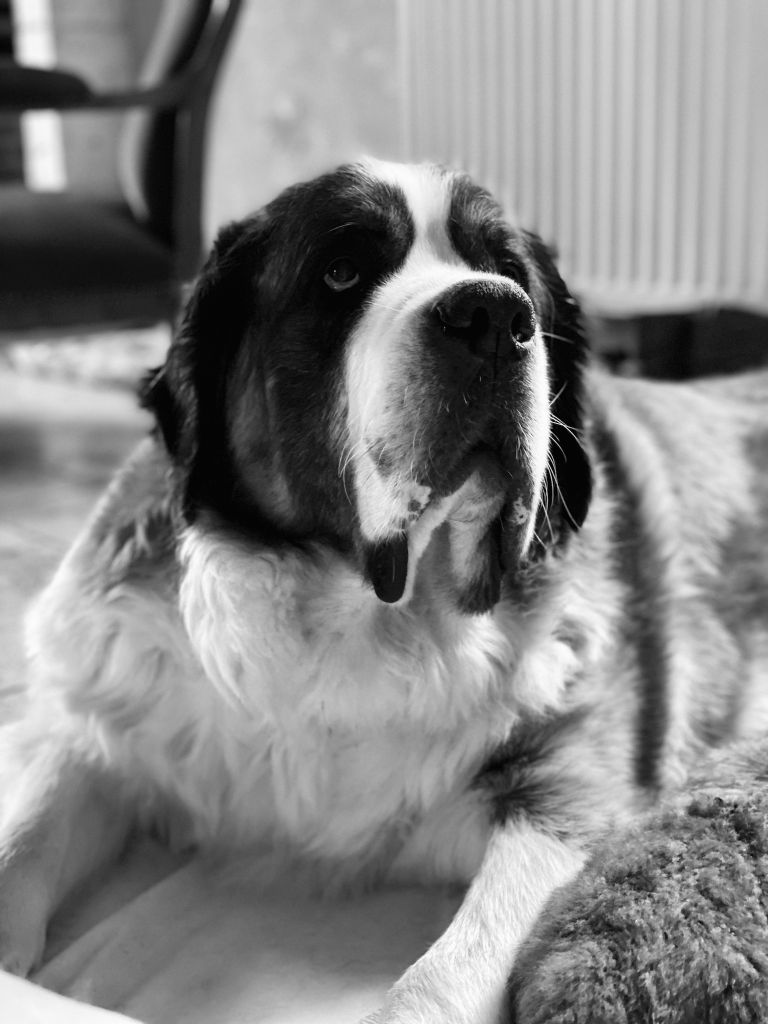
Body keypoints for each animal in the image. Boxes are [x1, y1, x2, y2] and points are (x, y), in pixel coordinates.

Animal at [1, 159, 768, 1024]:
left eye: (511, 273)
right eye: (341, 272)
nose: (494, 314)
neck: (363, 619)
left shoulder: (564, 804)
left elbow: (438, 979)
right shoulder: (107, 727)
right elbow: (26, 842)